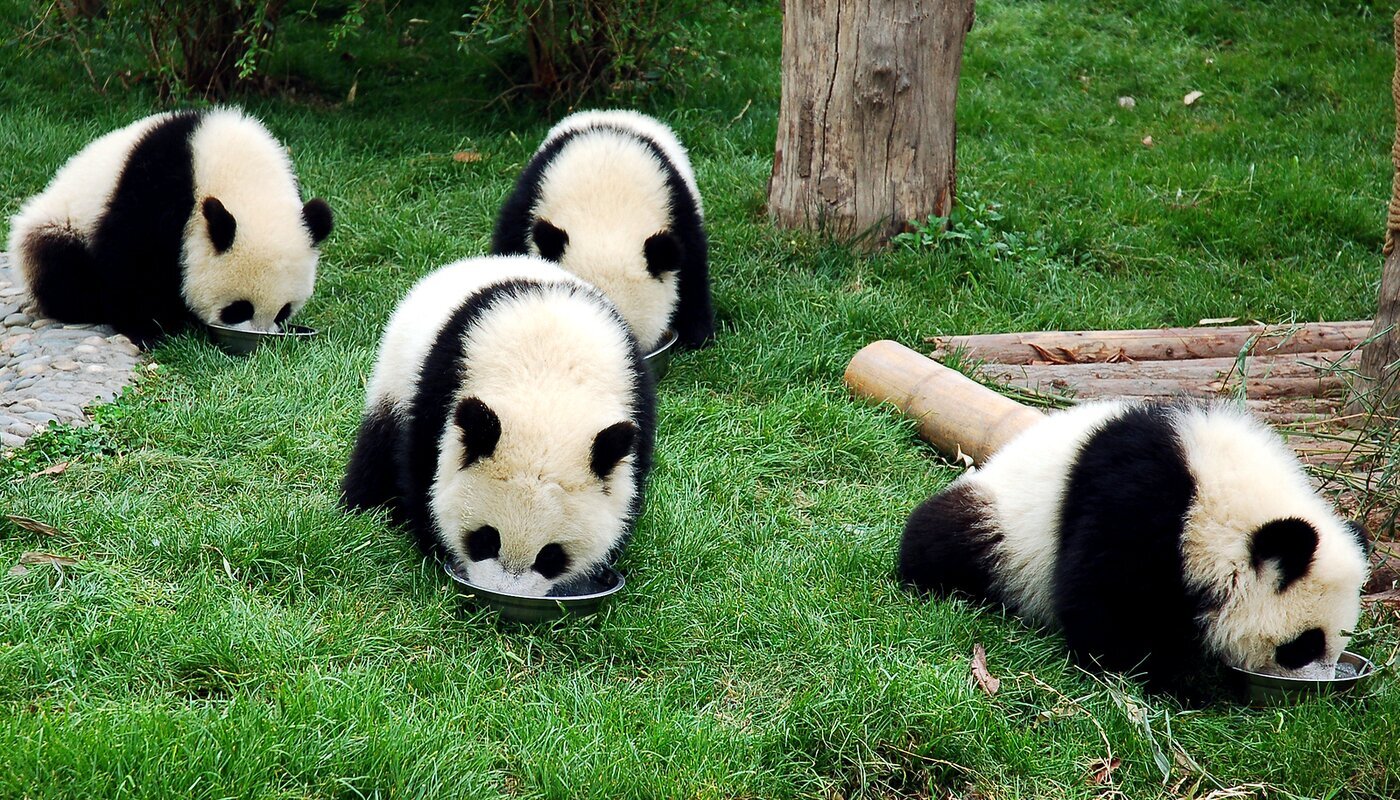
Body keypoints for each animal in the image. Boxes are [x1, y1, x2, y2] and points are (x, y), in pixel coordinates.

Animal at [7, 108, 333, 347]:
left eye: (284, 310)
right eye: (239, 308)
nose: (258, 337)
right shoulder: (158, 188)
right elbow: (131, 258)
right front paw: (148, 329)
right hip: (59, 225)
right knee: (61, 267)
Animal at [340, 254, 657, 597]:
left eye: (551, 556)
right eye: (486, 539)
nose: (503, 593)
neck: (549, 389)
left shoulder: (636, 404)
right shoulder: (442, 387)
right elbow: (423, 468)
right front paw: (432, 543)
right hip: (397, 374)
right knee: (378, 448)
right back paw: (363, 508)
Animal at [898, 400, 1370, 689]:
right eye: (1304, 645)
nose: (1320, 686)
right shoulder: (1138, 503)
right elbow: (1104, 598)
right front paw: (1170, 681)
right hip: (1004, 524)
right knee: (947, 539)